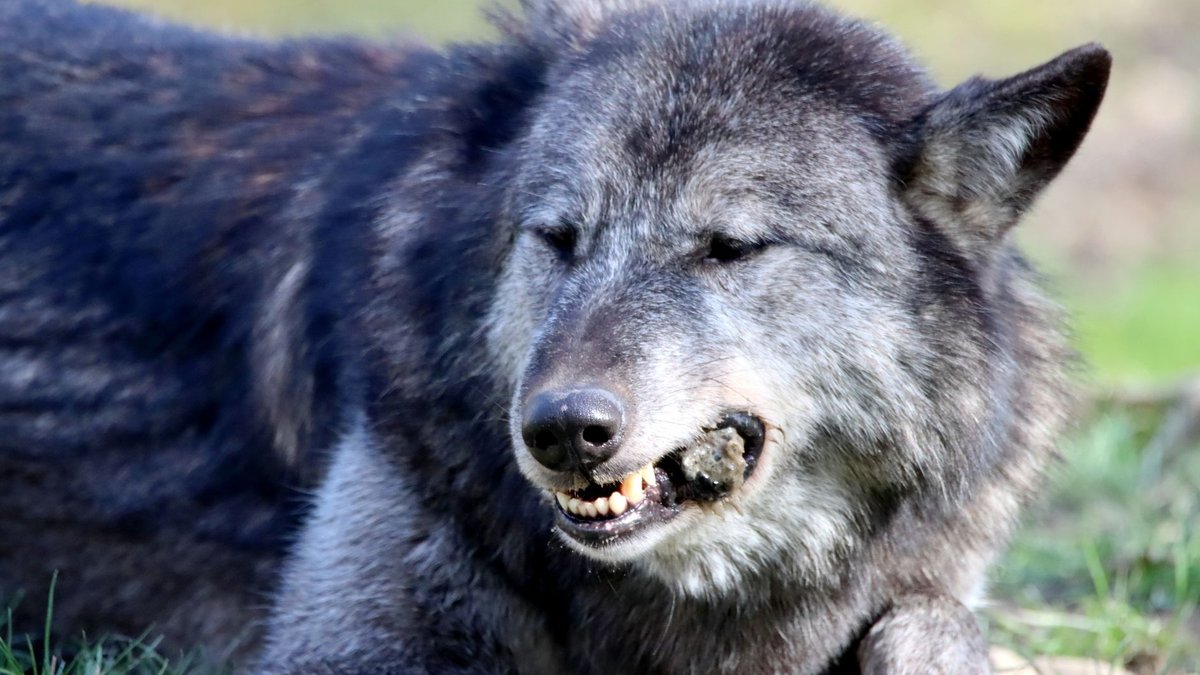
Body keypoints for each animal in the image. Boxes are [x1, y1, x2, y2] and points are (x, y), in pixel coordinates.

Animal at [0, 0, 1109, 672]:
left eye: (729, 247)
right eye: (560, 237)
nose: (562, 428)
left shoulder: (929, 583)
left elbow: (937, 623)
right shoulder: (339, 643)